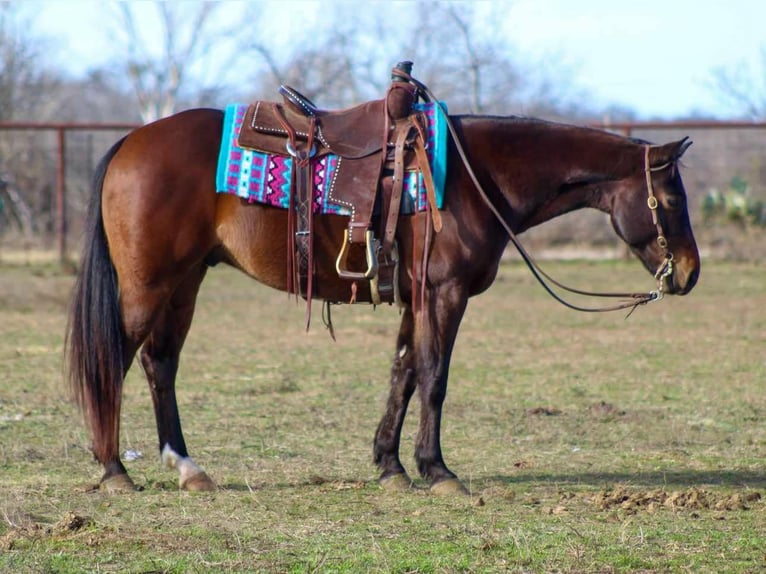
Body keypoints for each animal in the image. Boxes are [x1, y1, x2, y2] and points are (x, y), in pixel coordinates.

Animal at [66, 105, 700, 494]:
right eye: (671, 200)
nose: (690, 273)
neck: (473, 178)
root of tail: (132, 140)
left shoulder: (416, 300)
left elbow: (403, 373)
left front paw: (391, 465)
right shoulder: (444, 295)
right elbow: (435, 376)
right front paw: (437, 470)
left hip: (185, 282)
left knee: (159, 363)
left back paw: (186, 466)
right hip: (149, 287)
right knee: (115, 360)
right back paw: (114, 470)